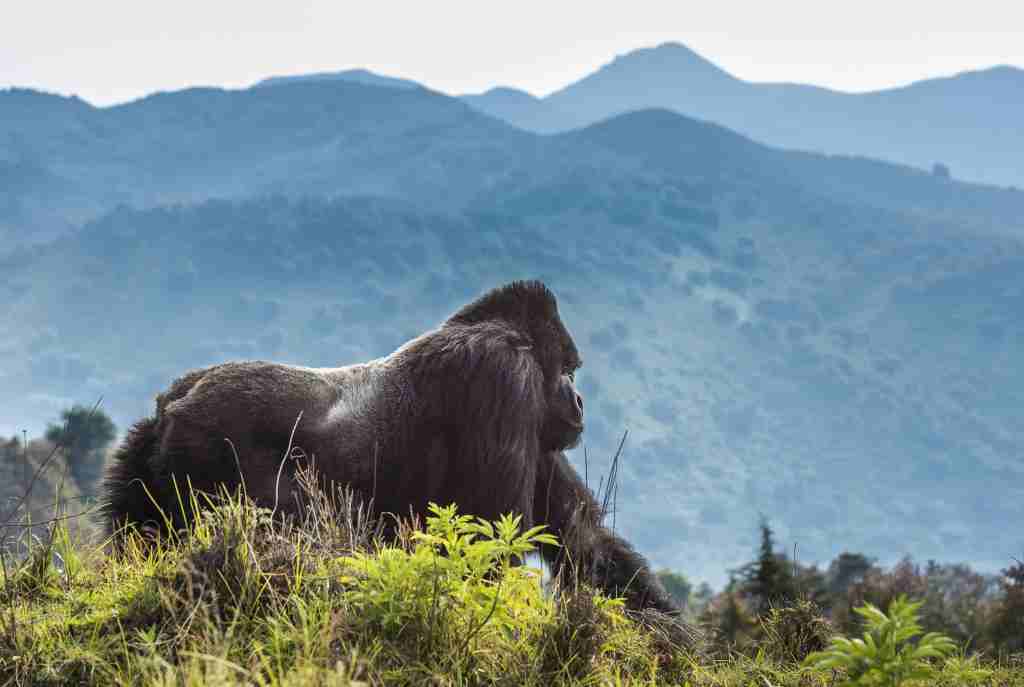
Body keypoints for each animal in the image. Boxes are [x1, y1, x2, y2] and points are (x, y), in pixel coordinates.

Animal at [101, 278, 679, 614]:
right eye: (569, 370)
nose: (579, 400)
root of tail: (170, 402)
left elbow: (585, 543)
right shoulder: (501, 377)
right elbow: (490, 538)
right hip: (205, 443)